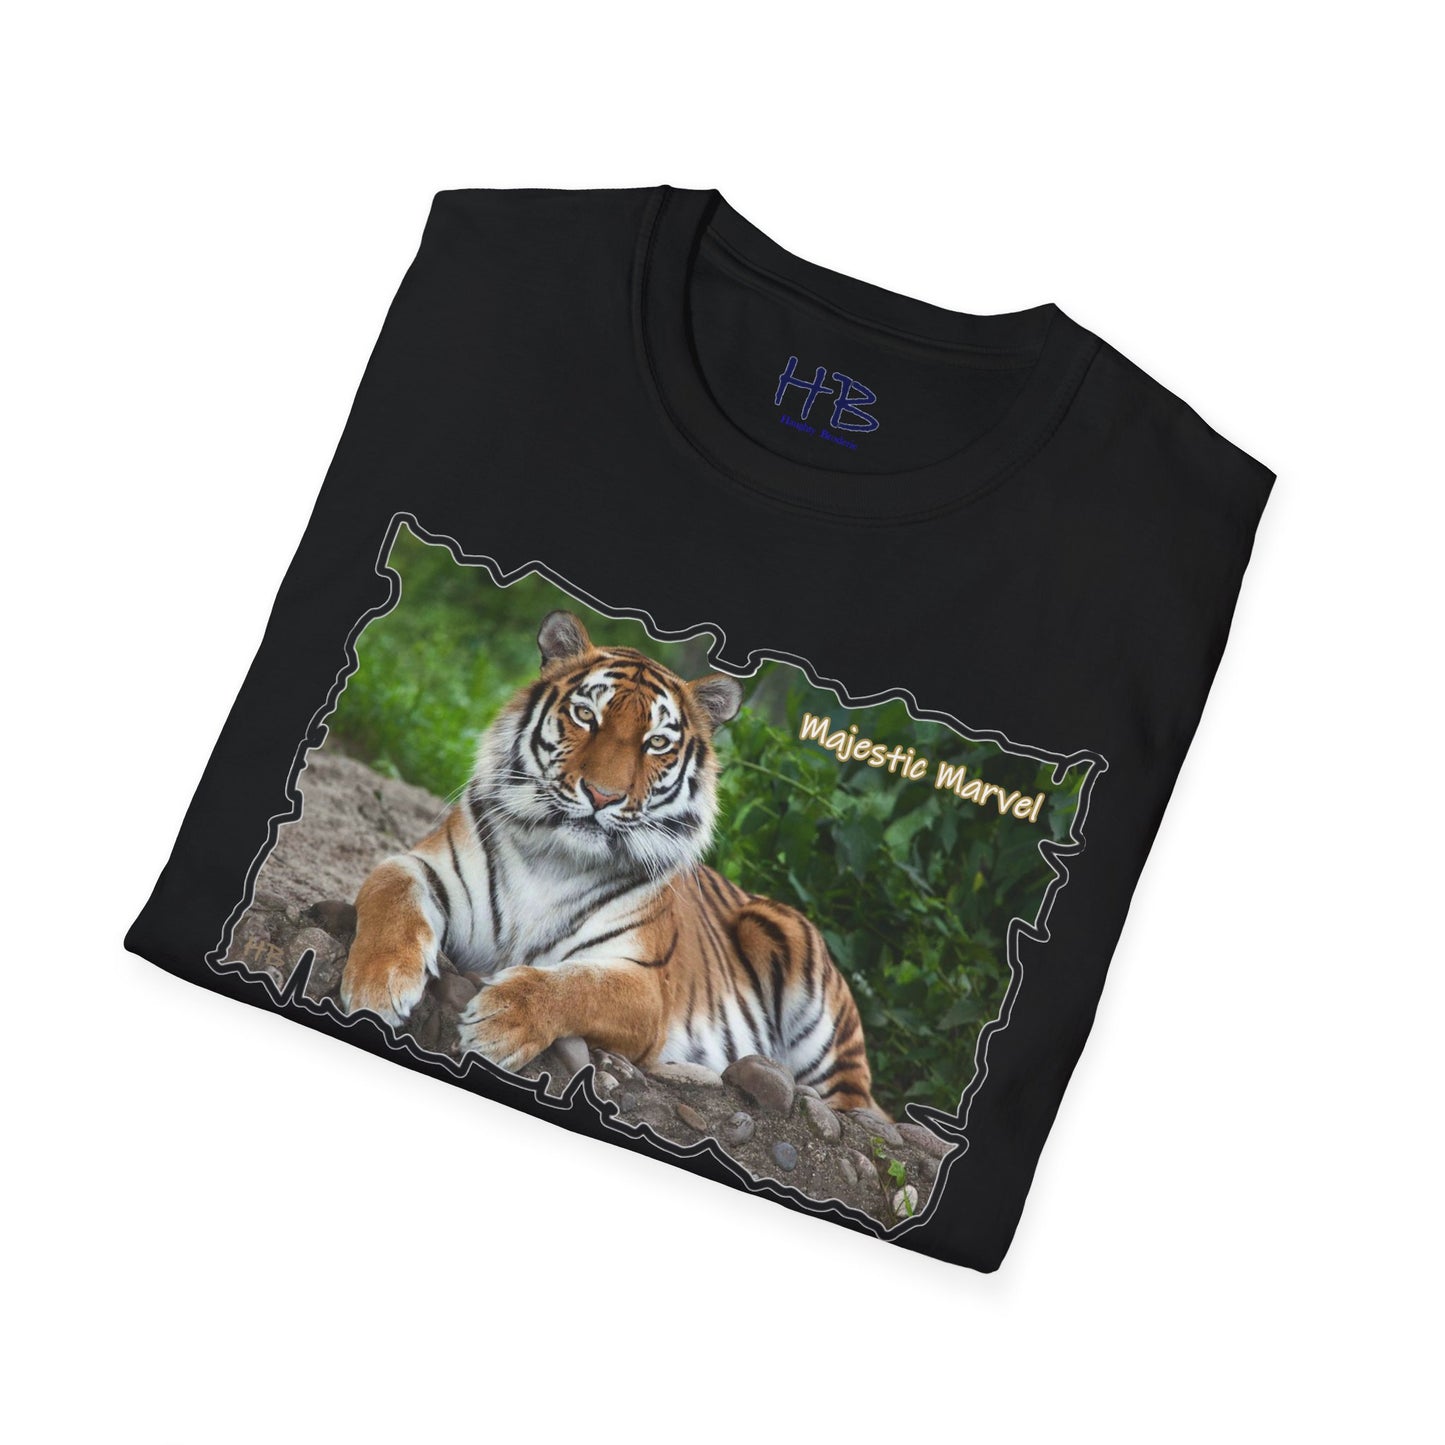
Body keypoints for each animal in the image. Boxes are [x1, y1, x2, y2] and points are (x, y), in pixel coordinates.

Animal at [339, 609, 881, 1114]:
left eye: (656, 742)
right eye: (585, 715)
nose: (602, 795)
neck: (555, 858)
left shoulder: (642, 984)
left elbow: (578, 985)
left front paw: (501, 1021)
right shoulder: (424, 865)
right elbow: (390, 889)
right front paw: (377, 986)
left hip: (794, 966)